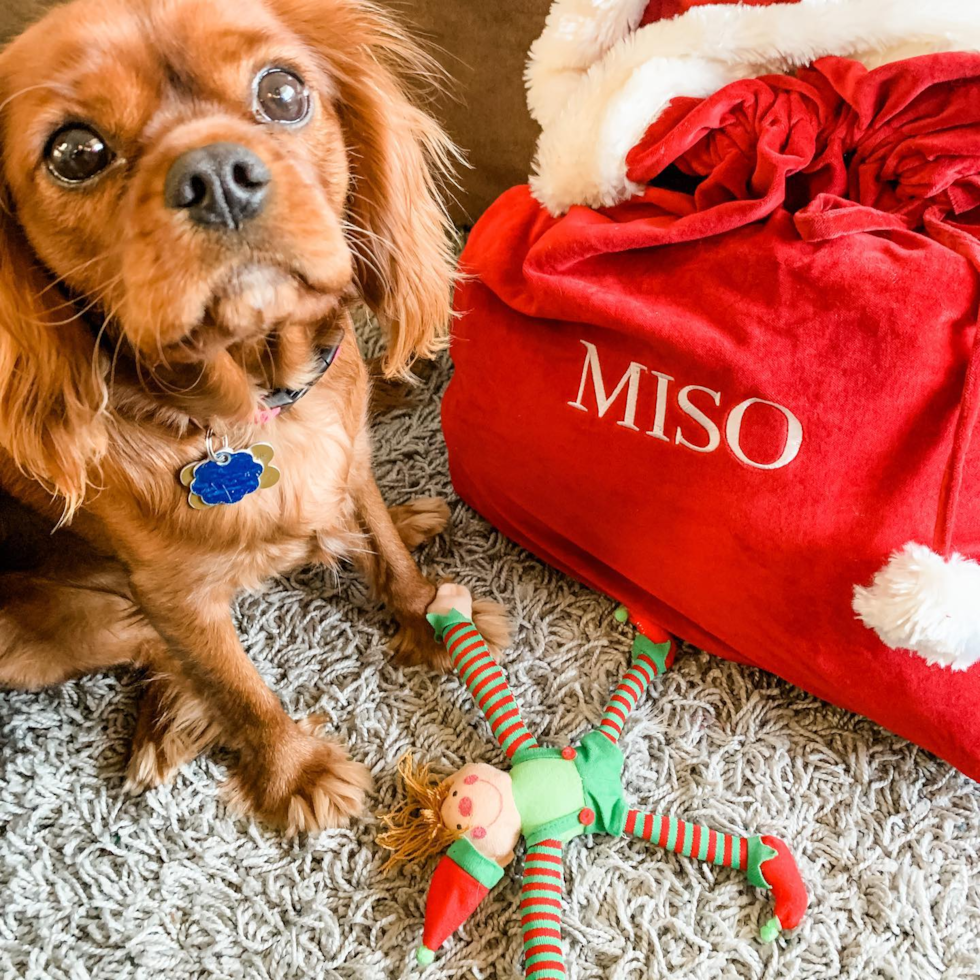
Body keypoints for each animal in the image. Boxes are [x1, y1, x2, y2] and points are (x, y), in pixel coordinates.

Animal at [0, 0, 510, 836]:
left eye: (282, 92)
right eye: (75, 152)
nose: (215, 177)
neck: (258, 404)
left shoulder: (351, 456)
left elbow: (378, 540)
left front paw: (425, 614)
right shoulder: (172, 593)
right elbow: (235, 681)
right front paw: (293, 769)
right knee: (154, 649)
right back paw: (175, 716)